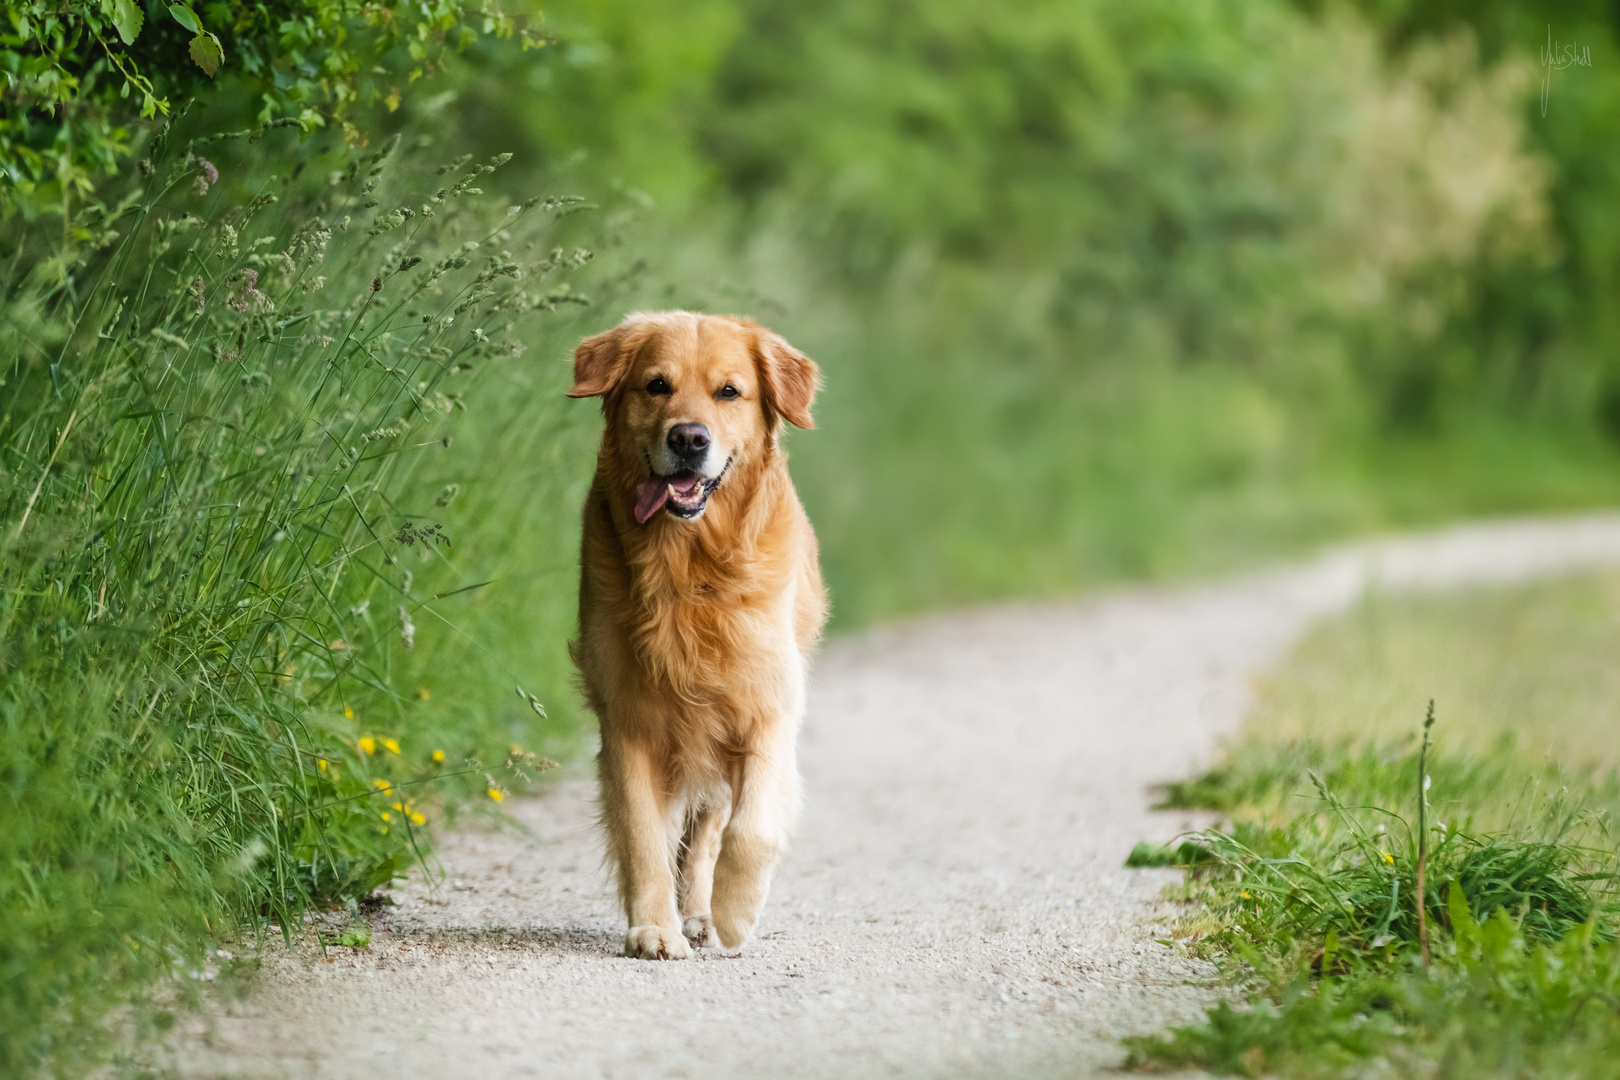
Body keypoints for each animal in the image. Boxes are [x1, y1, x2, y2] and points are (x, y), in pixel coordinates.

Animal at [567, 307, 822, 958]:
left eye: (729, 392)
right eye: (657, 385)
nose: (688, 439)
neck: (691, 567)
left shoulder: (766, 707)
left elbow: (752, 829)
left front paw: (734, 913)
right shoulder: (628, 719)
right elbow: (641, 834)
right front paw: (653, 928)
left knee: (710, 828)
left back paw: (705, 914)